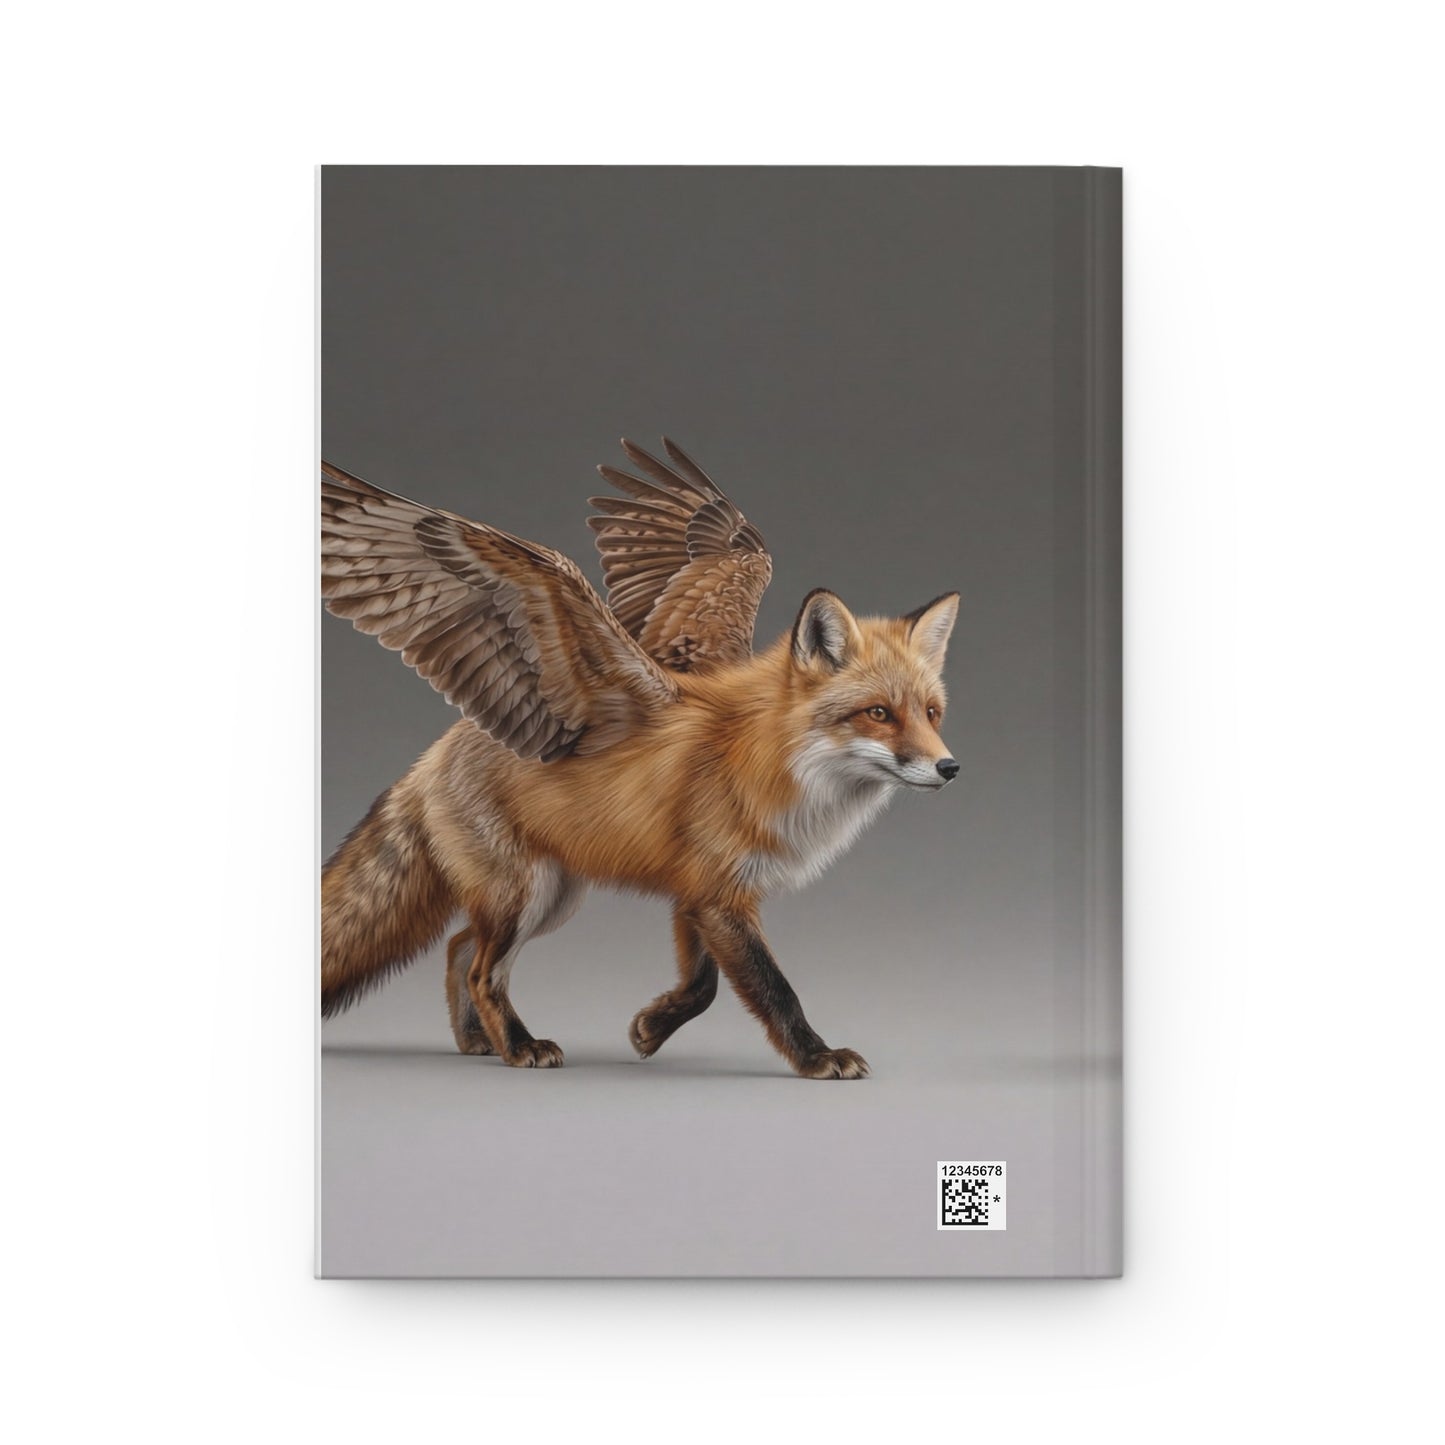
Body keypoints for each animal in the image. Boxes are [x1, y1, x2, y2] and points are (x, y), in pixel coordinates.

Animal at [321, 436, 959, 1079]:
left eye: (932, 714)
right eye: (879, 713)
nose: (949, 768)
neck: (769, 762)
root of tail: (437, 751)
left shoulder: (697, 892)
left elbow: (703, 986)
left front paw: (651, 1027)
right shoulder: (717, 892)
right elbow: (773, 988)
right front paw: (816, 1056)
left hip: (552, 898)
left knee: (458, 949)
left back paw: (480, 1039)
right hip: (523, 895)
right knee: (481, 969)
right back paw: (519, 1045)